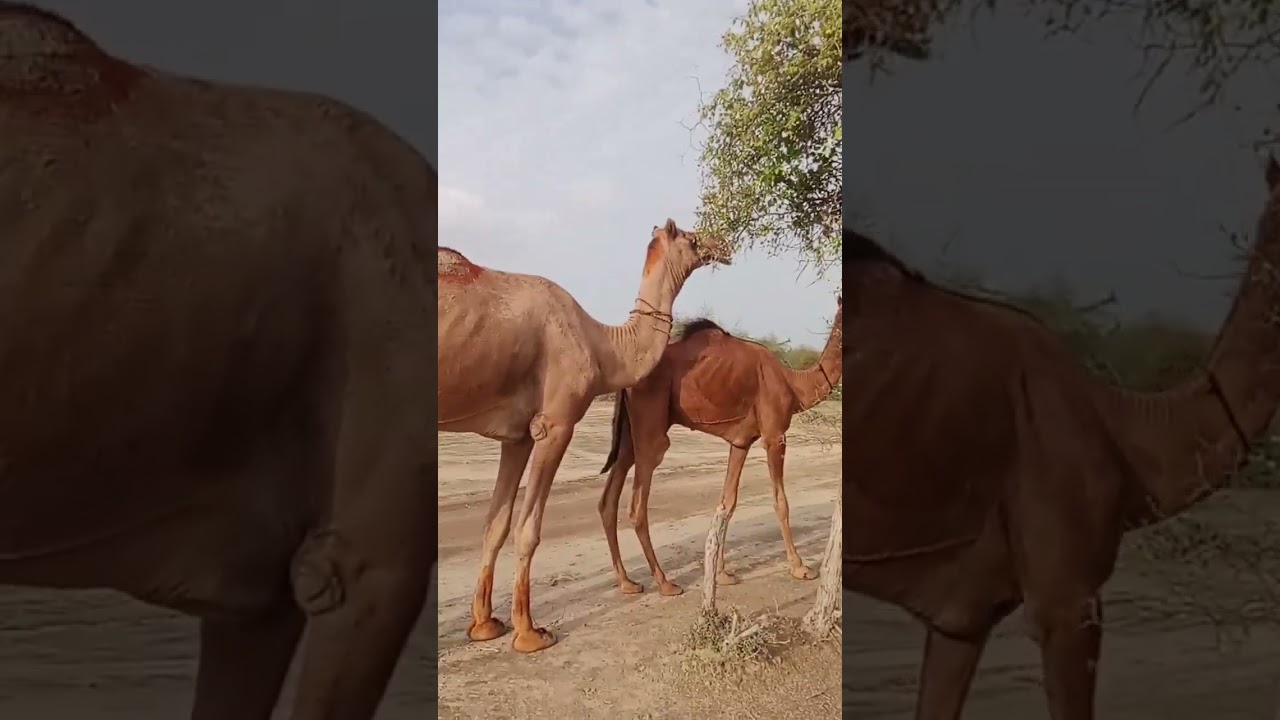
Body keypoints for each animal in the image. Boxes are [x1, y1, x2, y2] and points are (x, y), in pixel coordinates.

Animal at [438, 220, 729, 653]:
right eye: (692, 239)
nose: (721, 244)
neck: (602, 344)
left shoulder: (518, 435)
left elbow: (497, 523)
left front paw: (485, 625)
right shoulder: (556, 423)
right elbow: (529, 529)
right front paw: (529, 633)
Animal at [598, 296, 843, 595]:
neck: (794, 384)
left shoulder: (741, 442)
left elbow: (728, 502)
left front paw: (722, 574)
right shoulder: (774, 435)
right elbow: (780, 501)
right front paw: (800, 568)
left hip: (628, 432)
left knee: (610, 496)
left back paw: (627, 582)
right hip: (651, 424)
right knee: (637, 504)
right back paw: (665, 582)